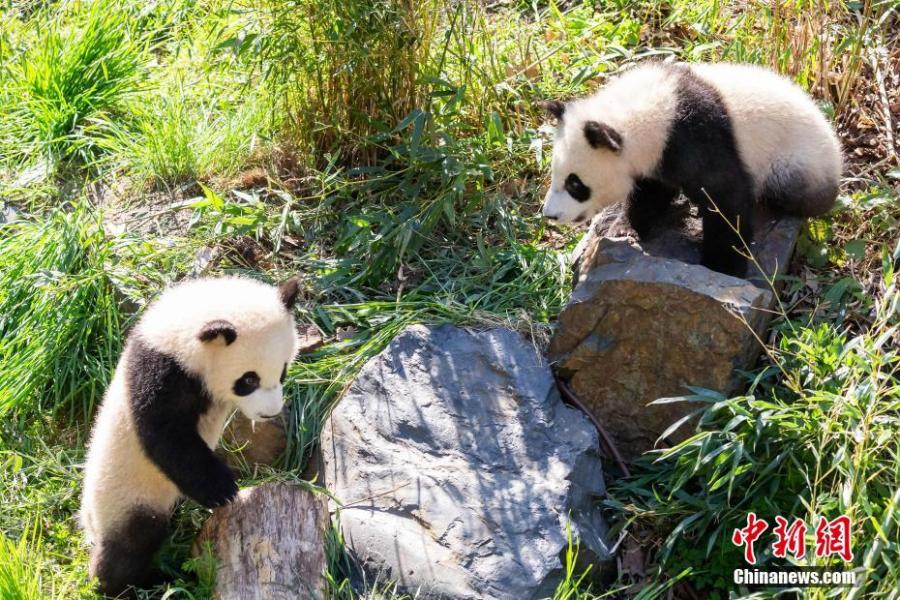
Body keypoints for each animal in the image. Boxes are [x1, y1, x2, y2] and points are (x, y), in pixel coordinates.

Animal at [80, 276, 302, 596]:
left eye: (282, 371)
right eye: (248, 380)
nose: (269, 413)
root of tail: (88, 522)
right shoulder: (163, 373)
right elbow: (166, 435)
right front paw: (223, 489)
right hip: (127, 494)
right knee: (132, 542)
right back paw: (130, 584)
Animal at [540, 61, 844, 276]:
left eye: (575, 184)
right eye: (555, 174)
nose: (550, 215)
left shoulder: (698, 138)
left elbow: (726, 198)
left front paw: (723, 266)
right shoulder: (659, 157)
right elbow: (651, 193)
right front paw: (625, 229)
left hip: (795, 160)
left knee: (793, 192)